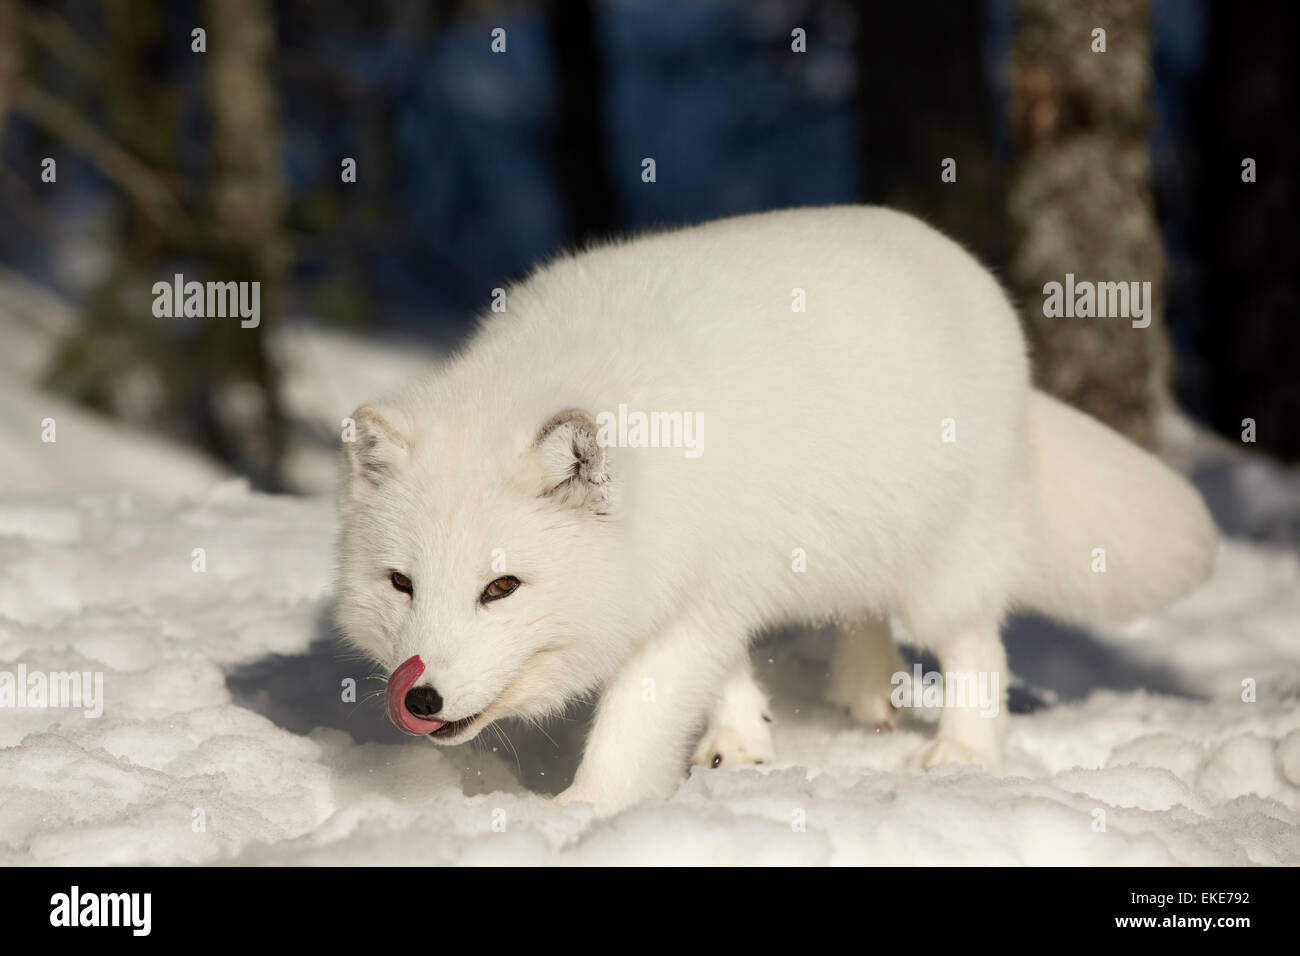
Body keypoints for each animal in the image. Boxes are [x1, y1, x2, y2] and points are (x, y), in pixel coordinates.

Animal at [338, 208, 1216, 816]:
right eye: (401, 584)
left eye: (501, 588)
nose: (420, 698)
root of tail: (966, 266)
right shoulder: (716, 581)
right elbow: (726, 675)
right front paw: (741, 745)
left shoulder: (691, 603)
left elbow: (634, 726)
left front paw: (582, 812)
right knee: (863, 610)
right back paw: (864, 692)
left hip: (949, 562)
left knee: (978, 647)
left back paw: (964, 750)